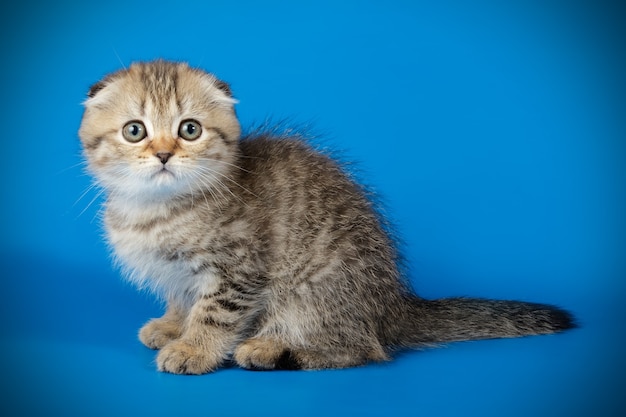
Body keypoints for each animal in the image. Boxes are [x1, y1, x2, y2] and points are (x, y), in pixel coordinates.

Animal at [79, 59, 576, 374]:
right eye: (135, 130)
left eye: (190, 129)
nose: (163, 154)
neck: (158, 208)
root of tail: (394, 307)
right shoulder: (179, 272)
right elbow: (183, 298)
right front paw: (171, 325)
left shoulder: (239, 268)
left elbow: (214, 312)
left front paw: (195, 349)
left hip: (315, 289)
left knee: (363, 350)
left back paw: (272, 350)